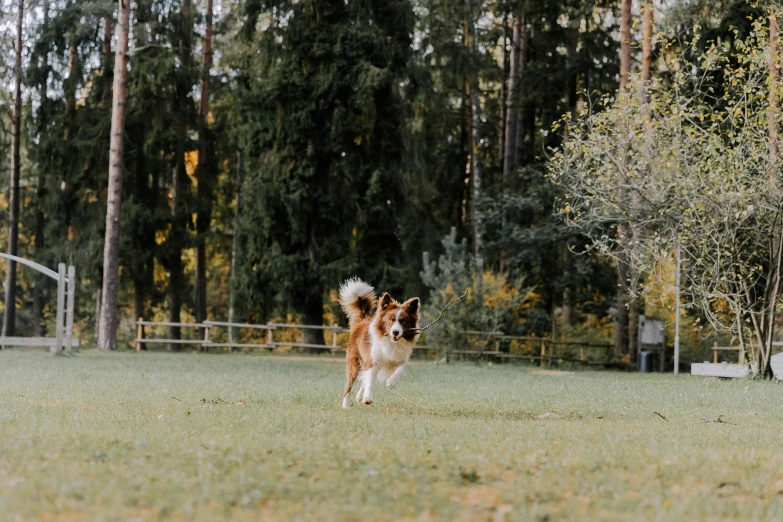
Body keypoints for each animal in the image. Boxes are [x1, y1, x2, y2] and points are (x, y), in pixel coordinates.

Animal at [340, 276, 420, 406]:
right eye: (390, 320)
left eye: (403, 321)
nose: (395, 332)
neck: (392, 342)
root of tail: (363, 320)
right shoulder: (373, 360)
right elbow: (369, 381)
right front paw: (367, 398)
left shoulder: (401, 357)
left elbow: (401, 369)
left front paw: (392, 382)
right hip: (354, 362)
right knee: (349, 385)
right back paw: (346, 405)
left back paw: (359, 396)